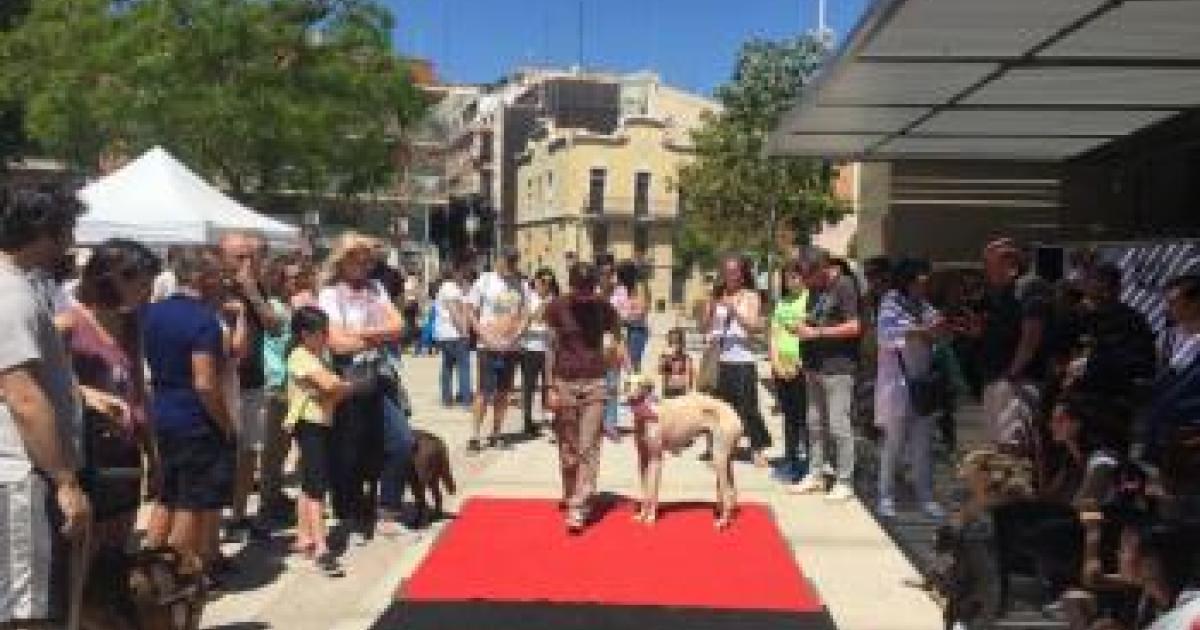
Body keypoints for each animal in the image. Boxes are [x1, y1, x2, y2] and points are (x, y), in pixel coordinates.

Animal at [622, 373, 744, 529]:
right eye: (627, 383)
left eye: (641, 384)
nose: (630, 398)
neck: (648, 413)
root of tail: (734, 413)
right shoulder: (642, 459)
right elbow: (644, 491)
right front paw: (642, 515)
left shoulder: (656, 459)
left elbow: (653, 491)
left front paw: (651, 518)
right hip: (723, 456)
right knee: (732, 489)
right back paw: (725, 516)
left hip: (719, 457)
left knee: (727, 491)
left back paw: (722, 522)